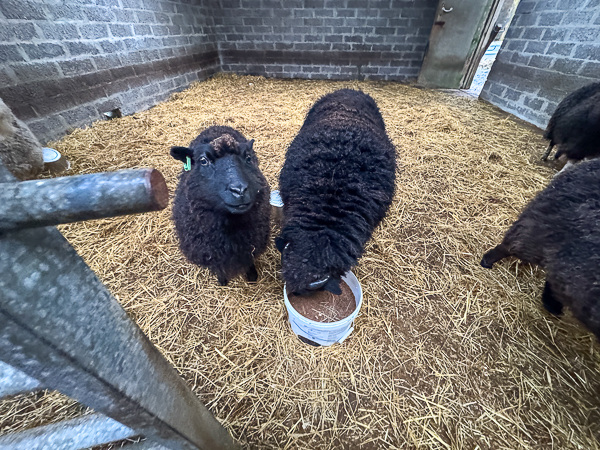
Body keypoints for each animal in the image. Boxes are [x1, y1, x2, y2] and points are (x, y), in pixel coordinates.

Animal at [170, 125, 270, 286]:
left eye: (248, 158)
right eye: (203, 161)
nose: (239, 190)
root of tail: (216, 126)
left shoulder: (250, 244)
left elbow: (249, 260)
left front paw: (252, 276)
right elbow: (218, 265)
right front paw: (222, 280)